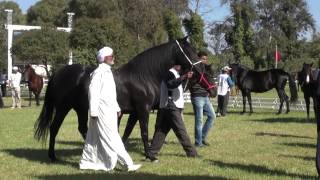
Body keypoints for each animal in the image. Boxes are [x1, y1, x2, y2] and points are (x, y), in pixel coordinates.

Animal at [34, 37, 210, 161]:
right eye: (189, 51)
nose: (201, 68)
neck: (143, 75)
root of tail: (59, 73)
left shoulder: (134, 112)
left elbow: (127, 131)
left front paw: (121, 150)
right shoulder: (143, 109)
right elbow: (144, 131)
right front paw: (149, 155)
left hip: (81, 109)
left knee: (82, 128)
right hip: (63, 108)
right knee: (54, 128)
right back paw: (53, 156)